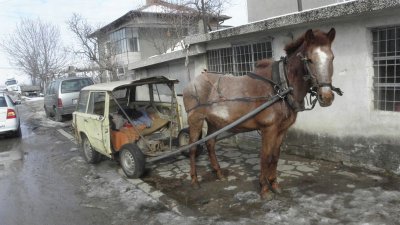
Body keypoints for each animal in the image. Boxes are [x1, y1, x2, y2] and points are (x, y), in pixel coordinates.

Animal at [183, 28, 340, 199]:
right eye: (310, 60)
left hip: (214, 122)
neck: (280, 87)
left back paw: (219, 174)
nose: (326, 97)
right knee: (193, 148)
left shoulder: (282, 130)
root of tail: (193, 82)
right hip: (196, 120)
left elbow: (275, 156)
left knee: (210, 143)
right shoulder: (268, 129)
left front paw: (274, 184)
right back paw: (194, 181)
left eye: (332, 58)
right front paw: (264, 189)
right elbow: (266, 157)